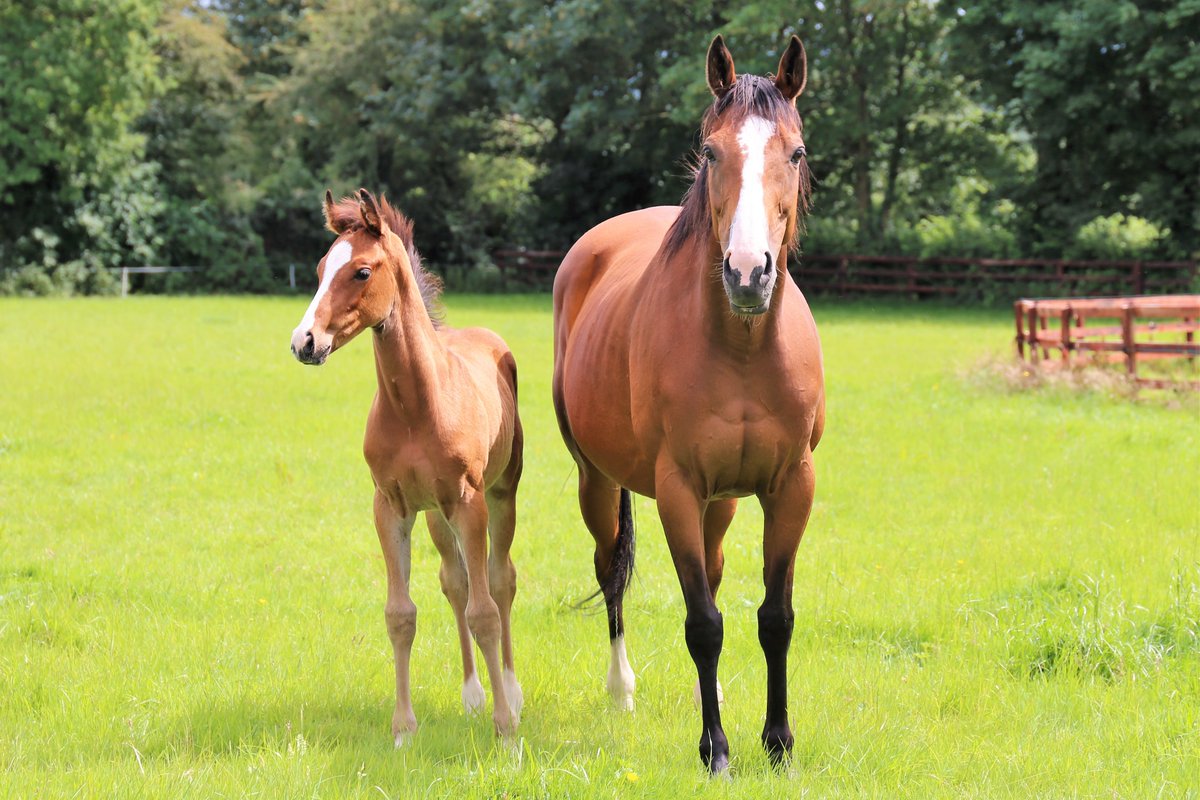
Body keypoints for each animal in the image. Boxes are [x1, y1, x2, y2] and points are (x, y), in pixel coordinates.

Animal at [290, 189, 524, 745]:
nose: (304, 341)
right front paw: (403, 729)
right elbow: (401, 614)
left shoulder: (470, 502)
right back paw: (473, 695)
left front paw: (506, 730)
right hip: (436, 515)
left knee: (499, 581)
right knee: (455, 581)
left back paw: (511, 692)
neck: (418, 405)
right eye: (319, 269)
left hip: (501, 495)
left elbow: (485, 611)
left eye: (361, 272)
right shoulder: (391, 507)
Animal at [551, 35, 823, 773]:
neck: (741, 350)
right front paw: (716, 751)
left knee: (717, 570)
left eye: (795, 152)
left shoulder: (791, 486)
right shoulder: (676, 488)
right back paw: (621, 689)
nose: (748, 273)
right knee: (610, 571)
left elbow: (774, 618)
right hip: (598, 483)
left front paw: (779, 743)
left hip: (722, 503)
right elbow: (702, 623)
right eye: (711, 152)